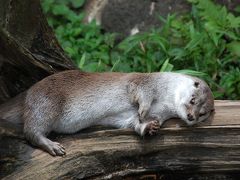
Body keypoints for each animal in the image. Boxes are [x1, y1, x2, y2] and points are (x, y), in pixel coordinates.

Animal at [0, 70, 214, 156]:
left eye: (202, 113)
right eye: (192, 100)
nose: (191, 116)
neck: (164, 97)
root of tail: (28, 91)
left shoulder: (156, 114)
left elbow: (134, 124)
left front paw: (149, 127)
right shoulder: (144, 82)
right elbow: (140, 94)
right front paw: (143, 109)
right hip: (46, 103)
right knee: (31, 131)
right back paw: (52, 146)